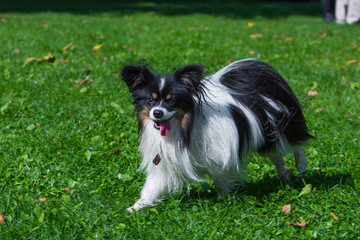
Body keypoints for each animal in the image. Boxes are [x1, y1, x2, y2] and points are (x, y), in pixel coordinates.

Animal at [121, 59, 312, 211]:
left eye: (172, 101)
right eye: (150, 100)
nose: (157, 113)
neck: (184, 128)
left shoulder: (220, 157)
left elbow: (220, 179)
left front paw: (224, 198)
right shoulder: (165, 163)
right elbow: (151, 188)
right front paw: (135, 207)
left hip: (280, 130)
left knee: (296, 144)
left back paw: (301, 164)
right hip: (267, 139)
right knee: (277, 157)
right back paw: (283, 177)